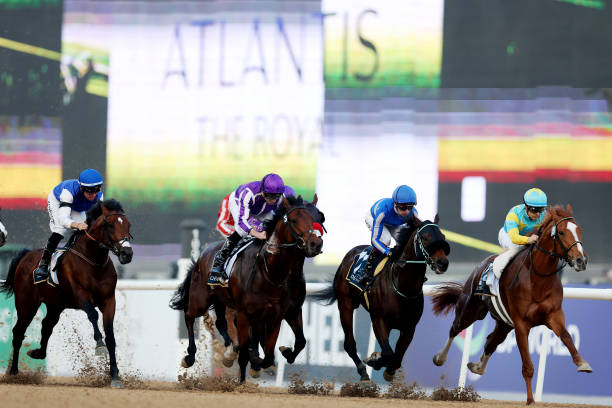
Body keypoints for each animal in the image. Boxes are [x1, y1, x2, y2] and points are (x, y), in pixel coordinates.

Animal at [0, 199, 133, 388]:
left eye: (128, 224)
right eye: (110, 225)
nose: (127, 253)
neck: (93, 262)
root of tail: (26, 255)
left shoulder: (109, 301)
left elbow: (111, 337)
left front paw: (115, 375)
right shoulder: (81, 296)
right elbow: (93, 315)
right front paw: (99, 345)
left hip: (55, 305)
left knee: (46, 325)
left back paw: (38, 353)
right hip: (26, 304)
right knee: (18, 332)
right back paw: (13, 372)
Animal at [170, 196, 322, 380]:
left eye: (318, 218)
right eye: (294, 220)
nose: (315, 243)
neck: (272, 273)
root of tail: (202, 254)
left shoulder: (284, 312)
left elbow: (290, 345)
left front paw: (279, 354)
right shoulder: (245, 313)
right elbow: (247, 352)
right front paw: (244, 374)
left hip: (222, 300)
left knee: (221, 323)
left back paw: (231, 352)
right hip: (201, 300)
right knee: (189, 315)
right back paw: (190, 356)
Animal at [310, 217, 450, 382]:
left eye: (443, 236)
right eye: (425, 237)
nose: (443, 263)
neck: (403, 286)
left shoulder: (409, 327)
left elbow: (397, 357)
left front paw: (385, 366)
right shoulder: (379, 319)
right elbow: (389, 353)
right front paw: (374, 361)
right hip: (345, 304)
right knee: (349, 344)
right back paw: (363, 372)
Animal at [430, 206, 592, 404]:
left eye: (579, 230)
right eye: (561, 232)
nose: (581, 260)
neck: (538, 280)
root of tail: (478, 267)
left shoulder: (554, 315)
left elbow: (567, 337)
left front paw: (582, 363)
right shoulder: (521, 324)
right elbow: (527, 366)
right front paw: (530, 400)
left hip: (504, 323)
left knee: (491, 341)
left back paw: (477, 366)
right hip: (470, 310)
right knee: (455, 328)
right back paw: (440, 358)